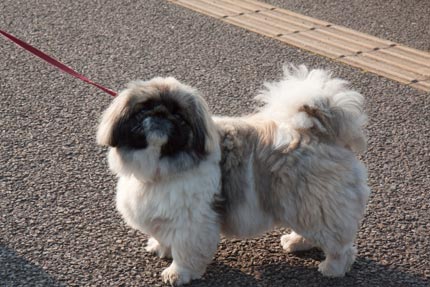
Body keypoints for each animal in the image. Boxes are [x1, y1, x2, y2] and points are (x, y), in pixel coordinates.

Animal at [96, 65, 370, 286]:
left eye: (179, 115)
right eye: (143, 110)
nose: (161, 114)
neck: (161, 164)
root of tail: (318, 133)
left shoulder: (192, 222)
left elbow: (185, 251)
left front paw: (177, 273)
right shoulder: (163, 213)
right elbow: (163, 235)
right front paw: (161, 248)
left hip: (316, 205)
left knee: (340, 246)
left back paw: (332, 268)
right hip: (303, 205)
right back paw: (297, 243)